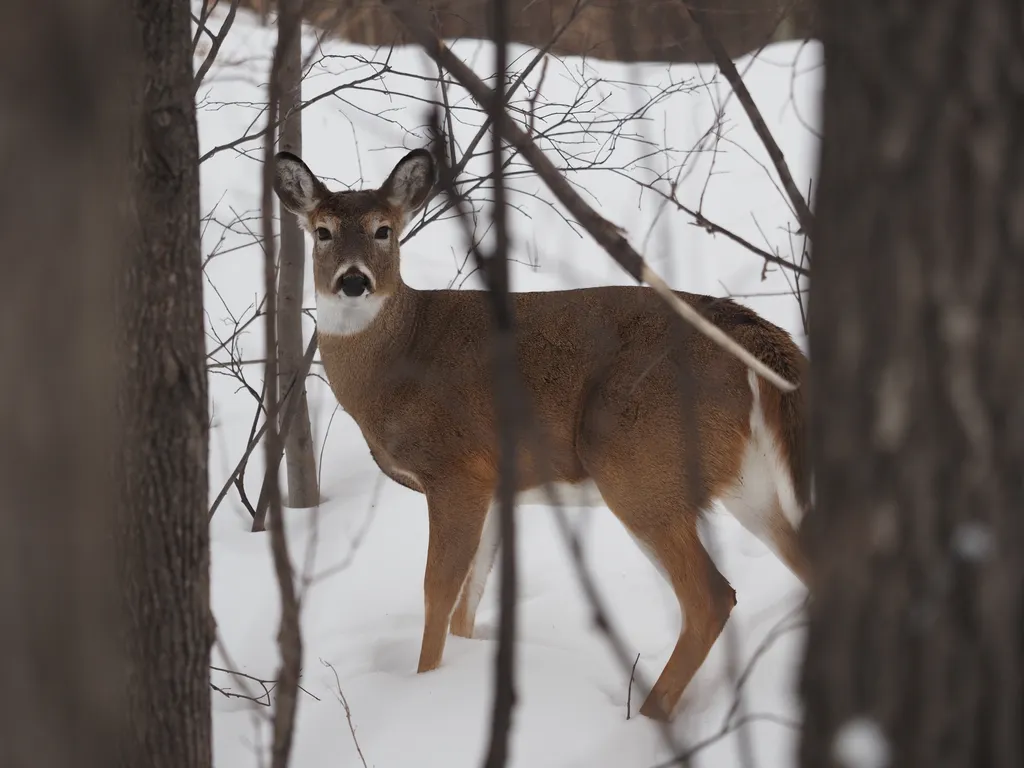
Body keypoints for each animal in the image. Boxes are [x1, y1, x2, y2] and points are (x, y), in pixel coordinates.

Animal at [274, 147, 815, 724]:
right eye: (323, 231)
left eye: (384, 230)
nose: (354, 281)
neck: (396, 362)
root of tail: (756, 336)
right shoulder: (495, 485)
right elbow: (469, 599)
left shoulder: (456, 467)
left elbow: (437, 591)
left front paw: (425, 689)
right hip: (748, 481)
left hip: (637, 459)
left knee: (710, 597)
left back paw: (647, 718)